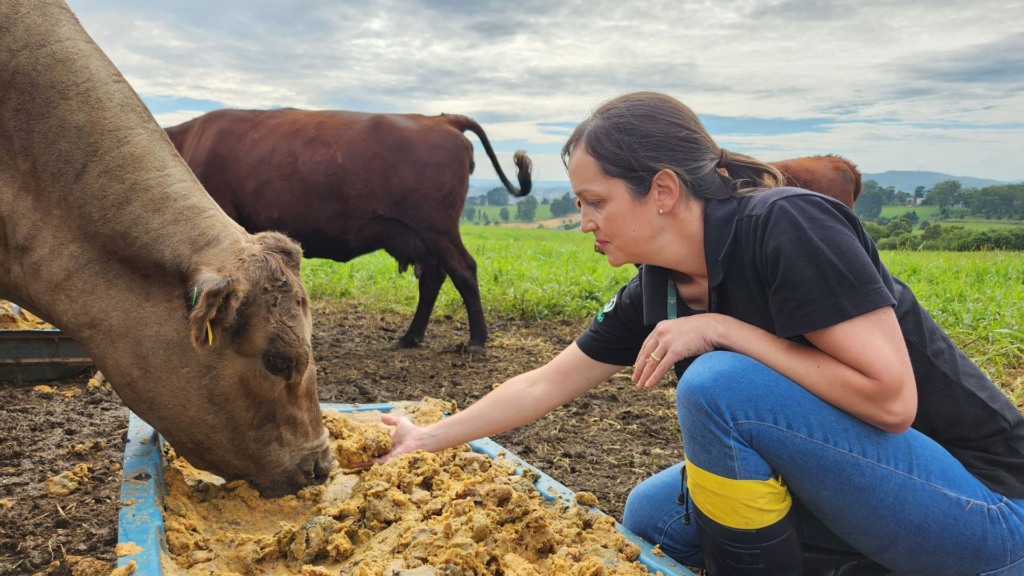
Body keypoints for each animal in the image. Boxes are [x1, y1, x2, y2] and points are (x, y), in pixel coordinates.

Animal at [165, 107, 536, 350]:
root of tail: (441, 119)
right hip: (424, 238)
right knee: (434, 278)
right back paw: (410, 337)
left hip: (438, 230)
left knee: (464, 271)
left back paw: (476, 341)